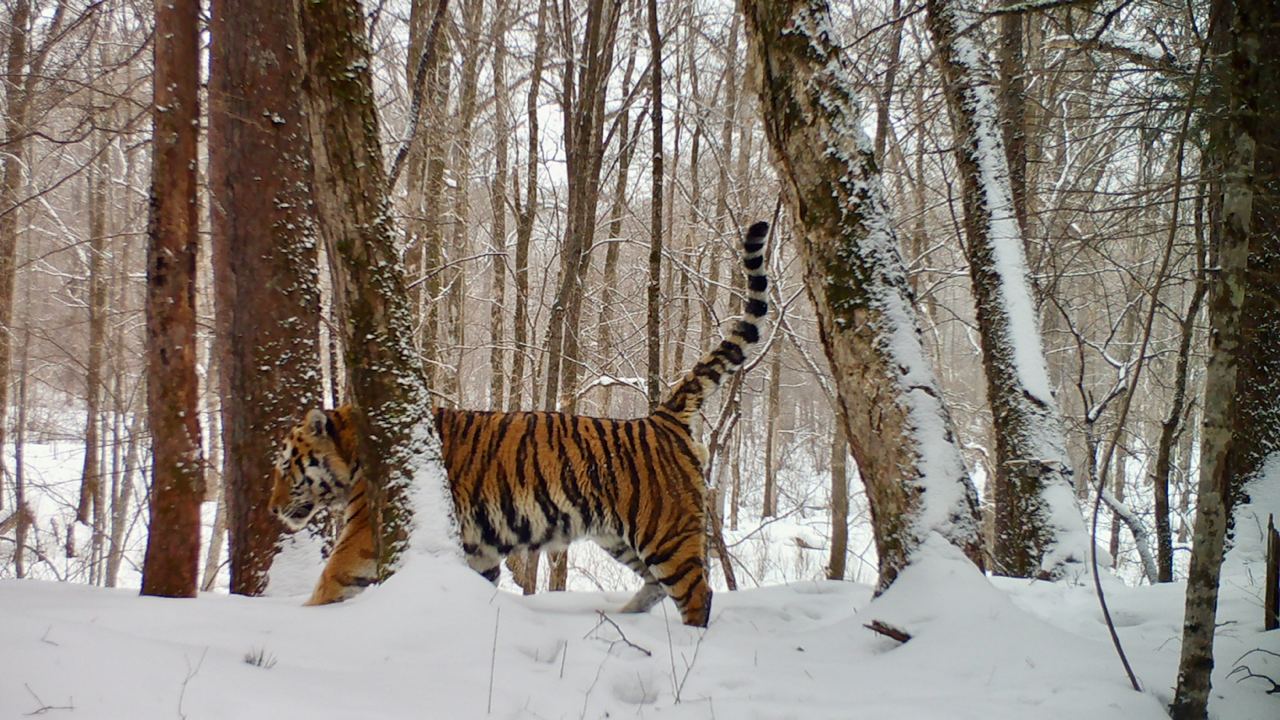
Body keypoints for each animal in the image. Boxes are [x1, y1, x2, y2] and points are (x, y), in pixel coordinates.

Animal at [267, 221, 768, 625]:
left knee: (696, 593)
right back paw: (620, 616)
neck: (351, 450)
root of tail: (661, 417)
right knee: (658, 587)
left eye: (288, 465)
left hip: (664, 532)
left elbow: (328, 584)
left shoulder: (362, 538)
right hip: (620, 536)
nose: (271, 508)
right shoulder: (479, 549)